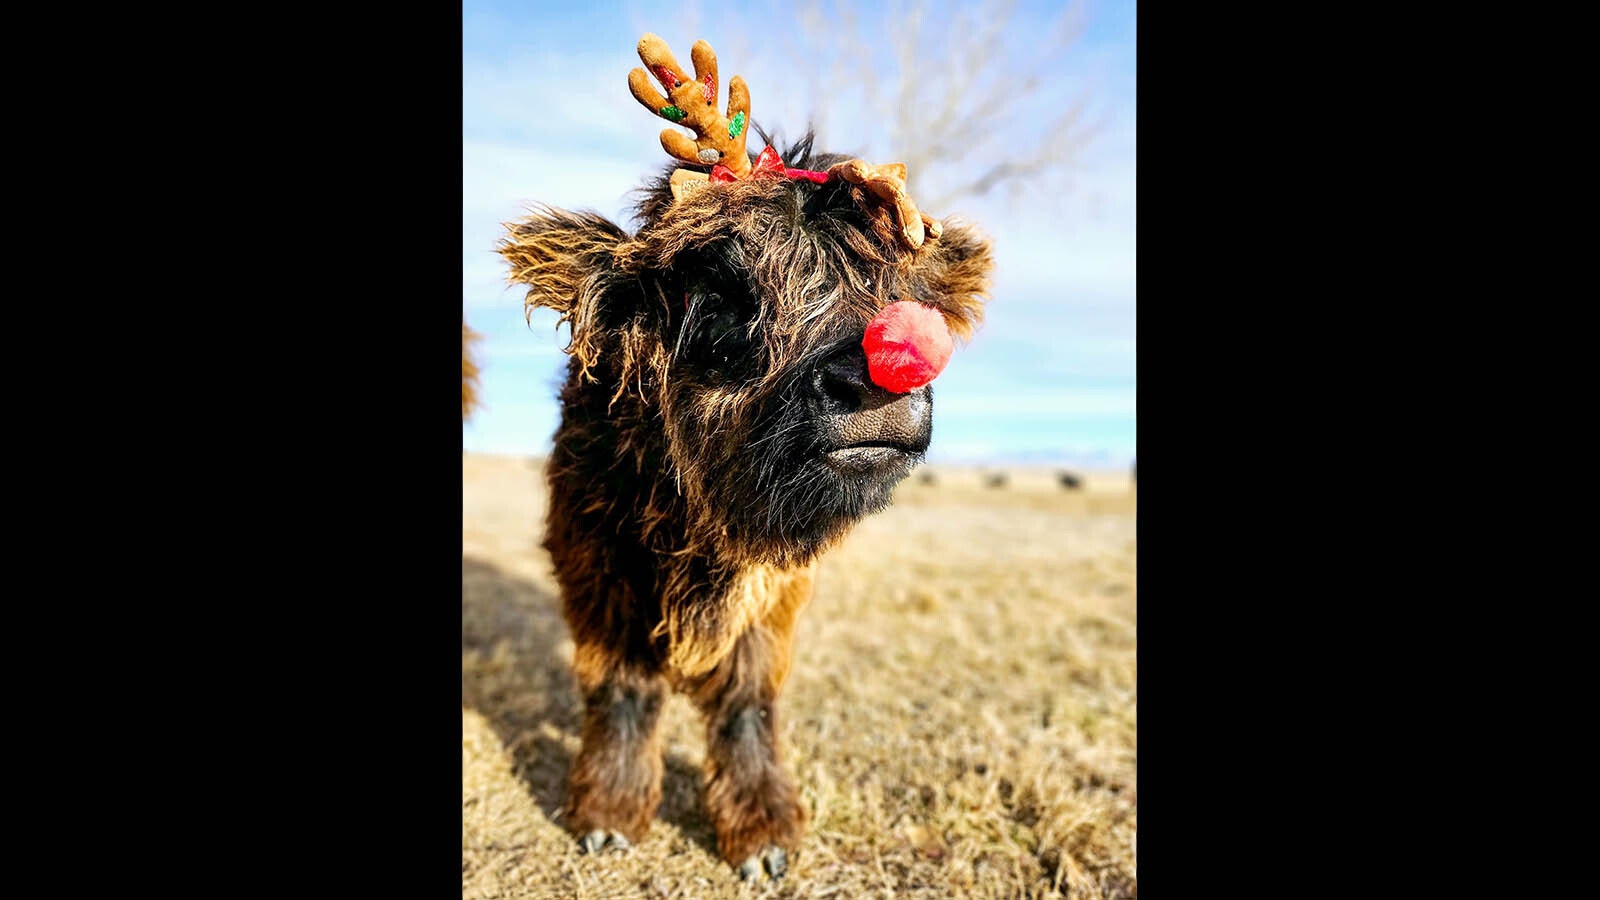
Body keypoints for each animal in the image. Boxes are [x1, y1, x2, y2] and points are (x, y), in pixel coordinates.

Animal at [499, 33, 992, 877]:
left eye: (891, 284)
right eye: (725, 294)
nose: (880, 373)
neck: (697, 536)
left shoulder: (775, 592)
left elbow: (745, 699)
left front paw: (761, 830)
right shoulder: (596, 565)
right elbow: (622, 690)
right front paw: (608, 815)